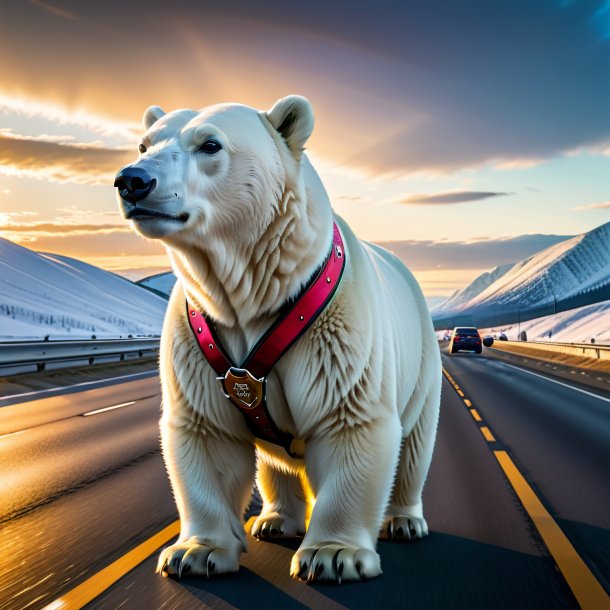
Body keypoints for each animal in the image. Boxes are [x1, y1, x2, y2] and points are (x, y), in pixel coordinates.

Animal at [113, 94, 436, 580]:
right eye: (143, 144)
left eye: (210, 144)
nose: (132, 181)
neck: (257, 291)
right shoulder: (201, 335)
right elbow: (207, 433)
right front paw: (194, 552)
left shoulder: (334, 335)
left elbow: (348, 421)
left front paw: (333, 555)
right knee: (273, 461)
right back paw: (275, 520)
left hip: (422, 362)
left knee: (414, 444)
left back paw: (403, 520)